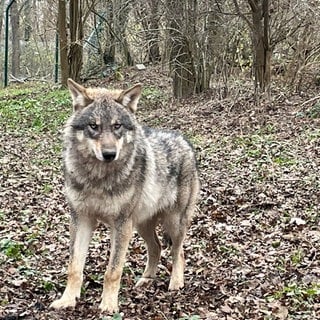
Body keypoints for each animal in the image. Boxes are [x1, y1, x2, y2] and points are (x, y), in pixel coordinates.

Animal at [49, 79, 200, 314]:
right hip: (141, 224)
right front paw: (67, 300)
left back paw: (176, 282)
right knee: (156, 247)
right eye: (94, 126)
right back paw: (146, 280)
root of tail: (185, 141)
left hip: (171, 223)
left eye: (117, 126)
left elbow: (113, 271)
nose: (110, 154)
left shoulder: (120, 224)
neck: (98, 179)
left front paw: (108, 305)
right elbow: (74, 266)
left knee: (178, 252)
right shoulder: (81, 220)